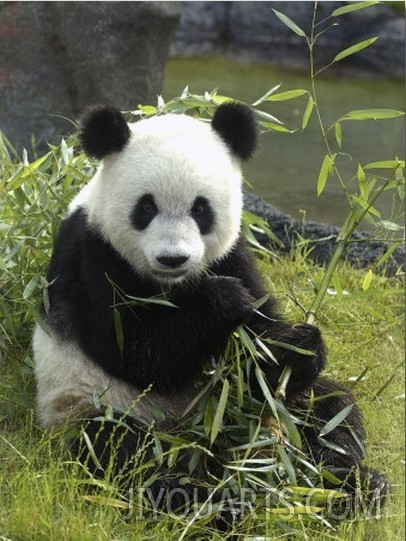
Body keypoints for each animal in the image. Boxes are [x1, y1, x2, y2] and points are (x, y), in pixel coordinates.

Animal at [33, 102, 386, 520]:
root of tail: (206, 440)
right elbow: (132, 350)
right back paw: (211, 502)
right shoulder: (94, 254)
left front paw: (297, 344)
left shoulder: (232, 255)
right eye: (146, 207)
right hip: (91, 405)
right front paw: (224, 300)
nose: (173, 258)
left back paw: (346, 486)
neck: (174, 285)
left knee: (329, 413)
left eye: (200, 209)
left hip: (253, 409)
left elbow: (259, 353)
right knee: (123, 450)